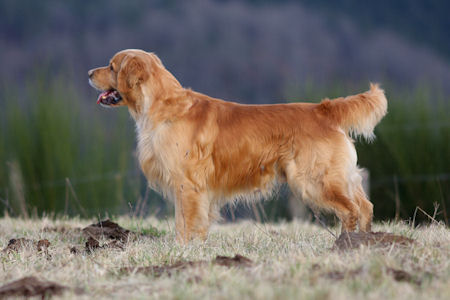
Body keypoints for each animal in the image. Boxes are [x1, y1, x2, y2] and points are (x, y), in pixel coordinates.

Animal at [88, 49, 386, 244]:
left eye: (112, 67)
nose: (89, 72)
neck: (164, 107)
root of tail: (324, 109)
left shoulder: (187, 184)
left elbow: (185, 223)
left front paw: (183, 250)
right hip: (340, 177)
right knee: (366, 206)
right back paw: (366, 242)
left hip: (313, 179)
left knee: (350, 210)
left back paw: (345, 244)